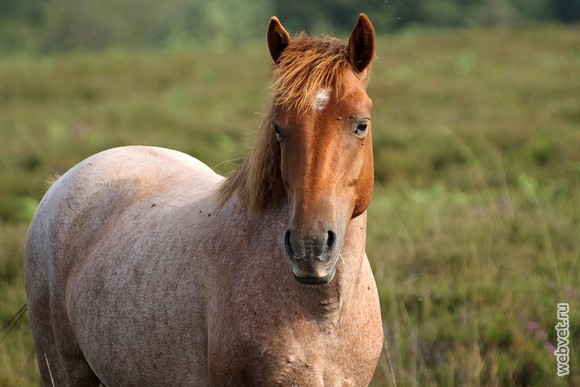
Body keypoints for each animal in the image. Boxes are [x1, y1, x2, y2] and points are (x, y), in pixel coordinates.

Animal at [24, 13, 382, 386]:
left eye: (361, 125)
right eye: (278, 128)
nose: (309, 247)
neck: (323, 317)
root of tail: (62, 181)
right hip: (62, 367)